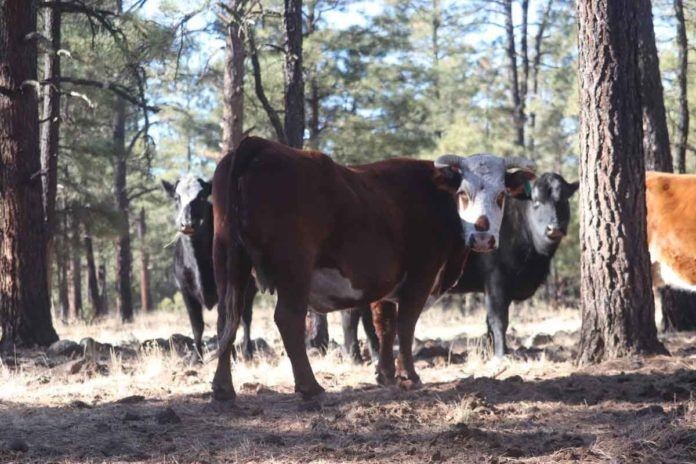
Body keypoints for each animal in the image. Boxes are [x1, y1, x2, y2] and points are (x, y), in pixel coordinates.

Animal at [162, 175, 256, 358]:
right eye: (177, 197)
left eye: (201, 197)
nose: (187, 224)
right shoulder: (186, 292)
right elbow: (197, 326)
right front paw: (195, 358)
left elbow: (224, 325)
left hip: (249, 288)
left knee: (246, 318)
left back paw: (247, 351)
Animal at [209, 136, 536, 400]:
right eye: (463, 193)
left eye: (501, 195)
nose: (482, 237)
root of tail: (259, 144)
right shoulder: (421, 274)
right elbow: (405, 325)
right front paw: (409, 376)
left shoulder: (386, 285)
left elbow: (385, 326)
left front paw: (386, 374)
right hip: (294, 267)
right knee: (287, 319)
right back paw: (310, 386)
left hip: (229, 261)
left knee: (228, 318)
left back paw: (223, 388)